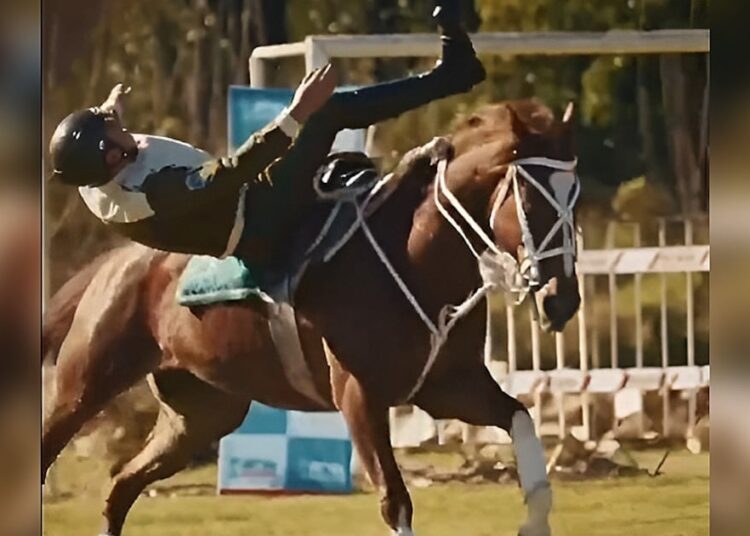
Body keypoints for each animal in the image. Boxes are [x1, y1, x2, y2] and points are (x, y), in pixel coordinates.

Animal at [42, 99, 581, 536]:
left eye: (573, 195)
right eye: (532, 199)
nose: (563, 300)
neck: (412, 255)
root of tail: (116, 263)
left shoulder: (448, 385)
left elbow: (520, 418)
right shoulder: (359, 397)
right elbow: (395, 502)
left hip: (201, 414)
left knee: (121, 485)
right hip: (84, 384)